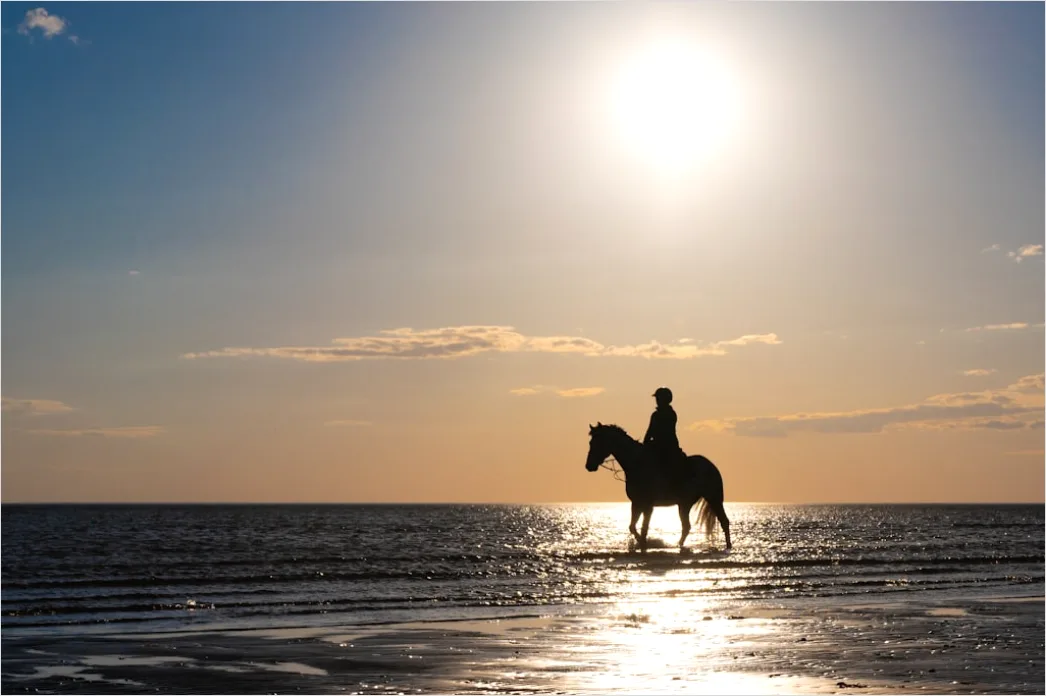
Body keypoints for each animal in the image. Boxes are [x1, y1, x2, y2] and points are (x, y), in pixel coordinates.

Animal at [585, 422, 732, 551]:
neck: (637, 463)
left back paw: (728, 546)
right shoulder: (636, 503)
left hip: (714, 498)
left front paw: (643, 544)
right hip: (685, 504)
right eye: (591, 443)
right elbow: (633, 526)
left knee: (723, 521)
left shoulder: (648, 505)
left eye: (597, 442)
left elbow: (644, 528)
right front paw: (641, 542)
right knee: (687, 526)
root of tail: (711, 466)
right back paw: (679, 545)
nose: (589, 465)